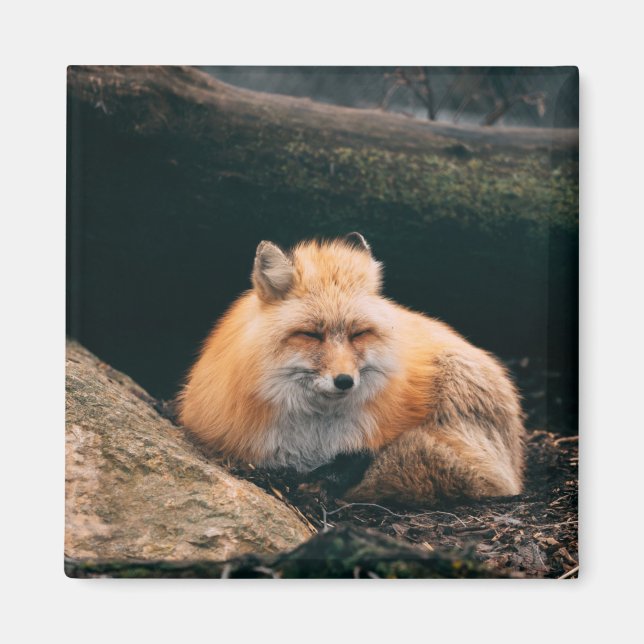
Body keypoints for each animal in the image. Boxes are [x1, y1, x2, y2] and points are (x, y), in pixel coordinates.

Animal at [178, 233, 525, 505]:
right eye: (311, 334)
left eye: (358, 333)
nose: (344, 381)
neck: (314, 438)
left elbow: (357, 460)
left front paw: (328, 479)